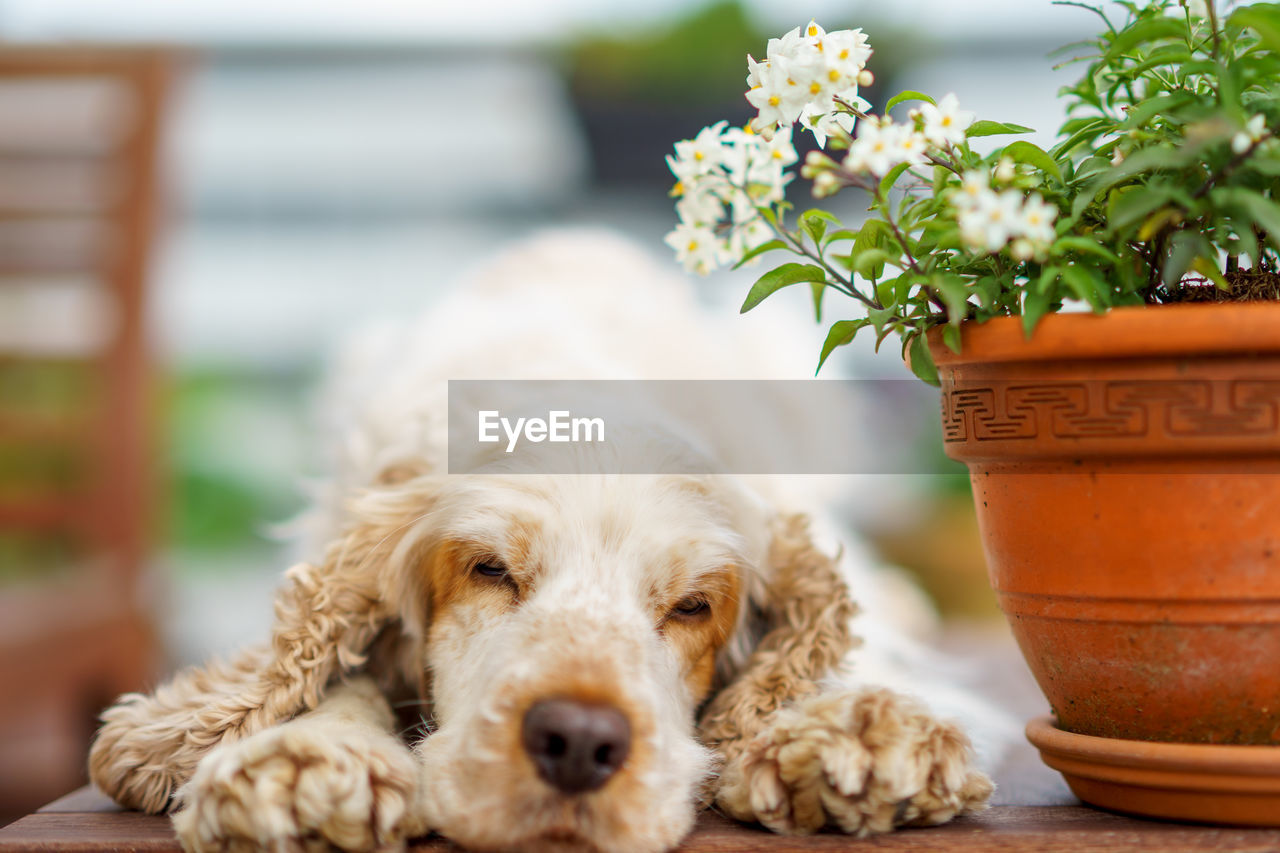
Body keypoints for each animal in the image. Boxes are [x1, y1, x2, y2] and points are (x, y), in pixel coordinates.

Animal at [87, 230, 1008, 850]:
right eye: (490, 569)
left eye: (692, 605)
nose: (579, 742)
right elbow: (337, 671)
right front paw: (303, 759)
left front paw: (855, 732)